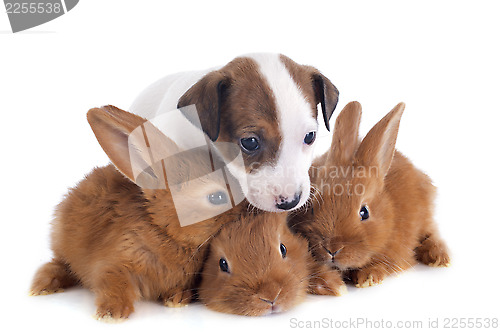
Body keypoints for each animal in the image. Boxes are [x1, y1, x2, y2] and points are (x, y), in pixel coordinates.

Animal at [29, 105, 246, 320]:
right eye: (217, 197)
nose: (245, 211)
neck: (164, 231)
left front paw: (177, 299)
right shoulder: (116, 263)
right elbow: (114, 284)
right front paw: (111, 313)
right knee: (60, 264)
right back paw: (43, 286)